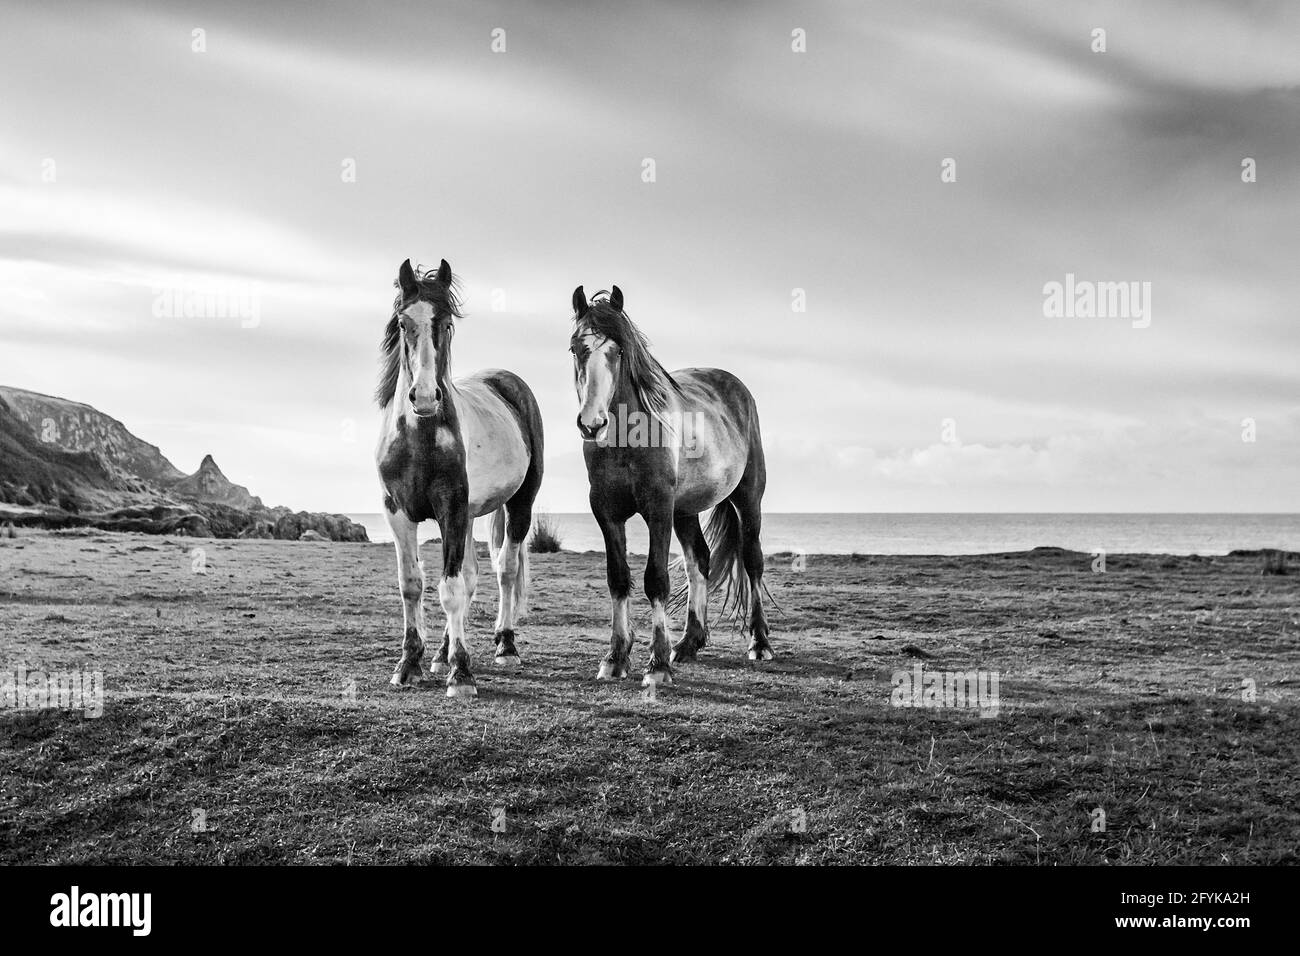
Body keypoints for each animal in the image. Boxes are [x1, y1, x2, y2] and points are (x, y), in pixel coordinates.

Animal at [377, 257, 543, 697]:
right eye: (403, 322)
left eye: (447, 324)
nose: (424, 397)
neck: (420, 439)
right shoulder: (397, 512)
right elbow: (413, 584)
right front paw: (410, 663)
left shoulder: (451, 509)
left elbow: (449, 590)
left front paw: (462, 675)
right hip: (468, 518)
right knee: (469, 577)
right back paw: (442, 653)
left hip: (518, 505)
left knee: (504, 569)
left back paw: (505, 645)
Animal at [569, 283, 769, 686]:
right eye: (575, 348)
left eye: (619, 350)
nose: (592, 424)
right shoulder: (607, 514)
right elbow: (618, 578)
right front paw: (615, 658)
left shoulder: (658, 509)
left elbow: (655, 580)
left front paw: (657, 665)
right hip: (686, 510)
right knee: (699, 561)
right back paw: (689, 643)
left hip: (747, 499)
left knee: (752, 560)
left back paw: (759, 643)